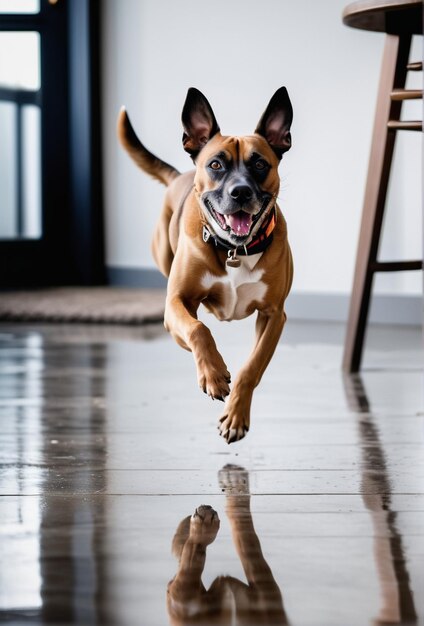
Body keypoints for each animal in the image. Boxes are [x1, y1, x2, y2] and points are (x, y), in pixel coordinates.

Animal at [117, 88, 294, 442]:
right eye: (215, 164)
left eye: (259, 164)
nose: (240, 193)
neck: (234, 248)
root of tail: (179, 175)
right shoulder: (176, 304)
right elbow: (198, 330)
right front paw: (213, 375)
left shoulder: (273, 315)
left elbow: (252, 366)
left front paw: (236, 415)